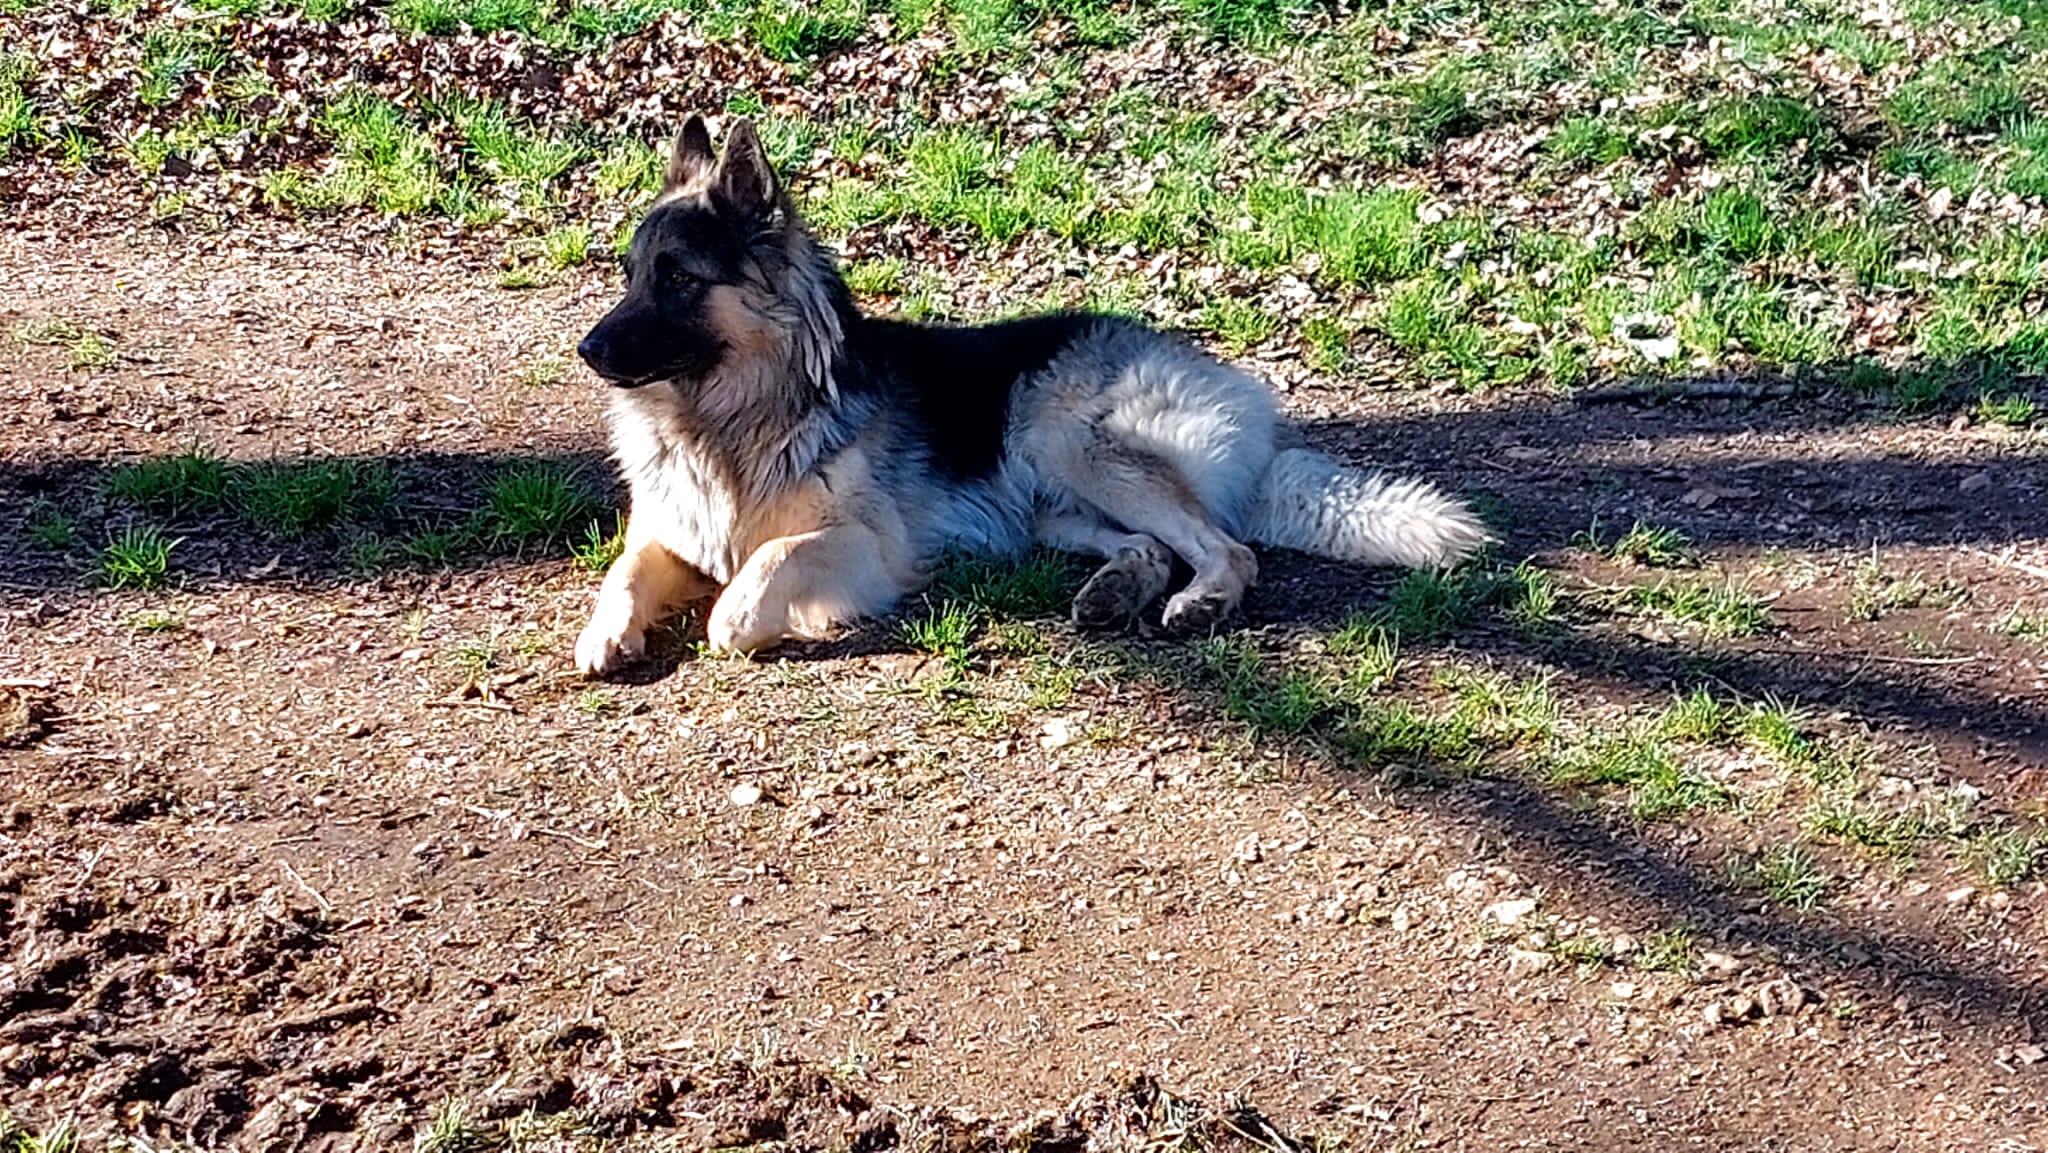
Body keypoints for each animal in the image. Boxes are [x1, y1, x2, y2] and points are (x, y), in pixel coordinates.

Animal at [572, 114, 1488, 675]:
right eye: (630, 274)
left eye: (679, 278)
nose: (587, 350)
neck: (731, 414)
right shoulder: (669, 531)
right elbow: (624, 571)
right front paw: (605, 630)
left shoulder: (865, 544)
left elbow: (756, 576)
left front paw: (751, 620)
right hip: (1048, 502)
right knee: (1152, 546)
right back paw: (1115, 591)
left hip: (1064, 438)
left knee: (1229, 549)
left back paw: (1198, 602)